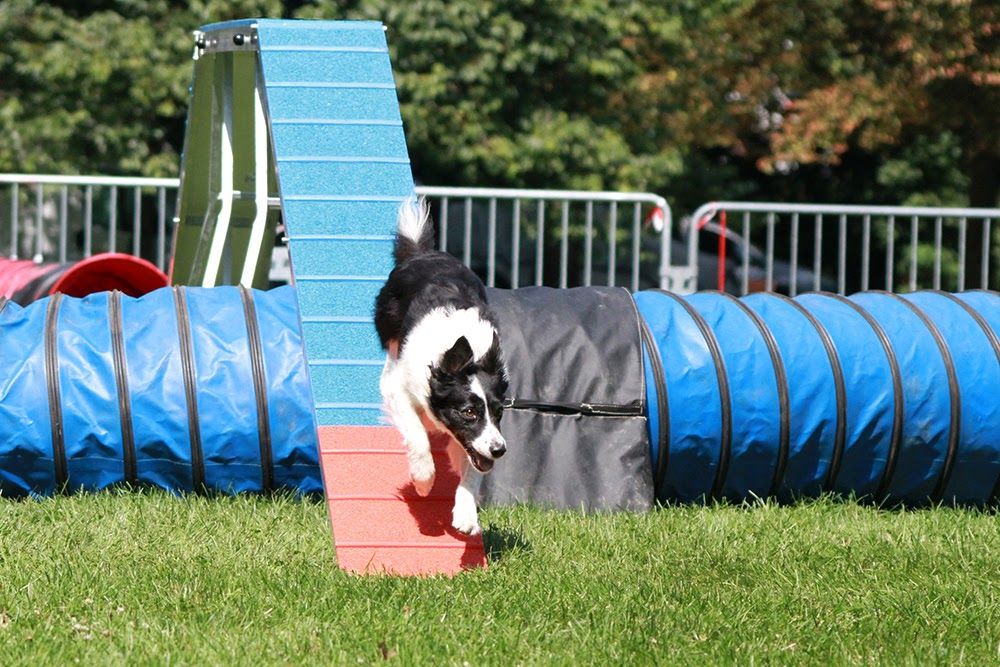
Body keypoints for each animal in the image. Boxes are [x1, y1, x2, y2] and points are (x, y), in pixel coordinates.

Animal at [376, 198, 508, 536]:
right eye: (469, 412)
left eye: (499, 412)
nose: (500, 450)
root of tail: (423, 253)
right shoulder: (400, 390)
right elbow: (417, 435)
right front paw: (423, 480)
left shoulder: (474, 440)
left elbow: (473, 470)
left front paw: (466, 515)